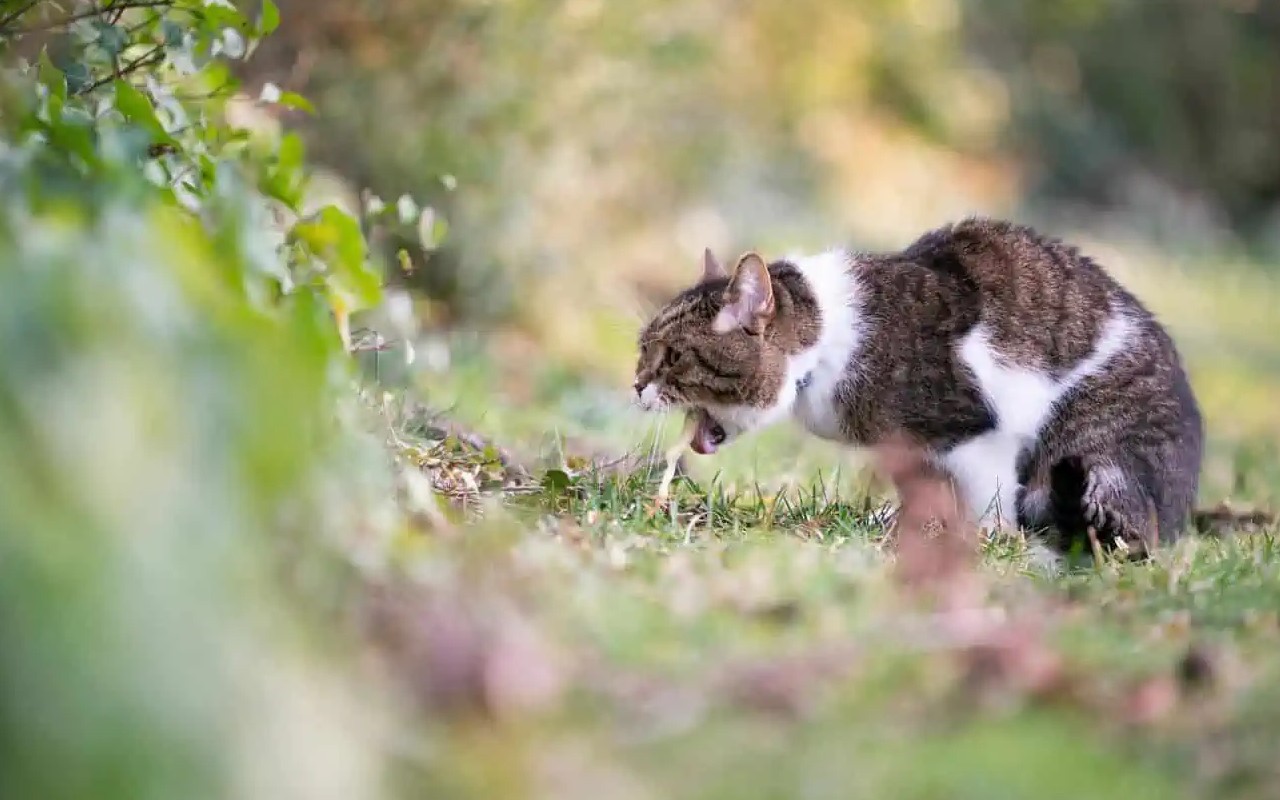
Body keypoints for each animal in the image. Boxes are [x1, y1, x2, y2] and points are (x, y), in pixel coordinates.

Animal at [634, 218, 1203, 555]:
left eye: (672, 357)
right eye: (642, 349)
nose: (636, 385)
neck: (829, 341)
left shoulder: (977, 434)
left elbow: (988, 504)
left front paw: (978, 540)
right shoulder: (911, 451)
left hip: (1096, 447)